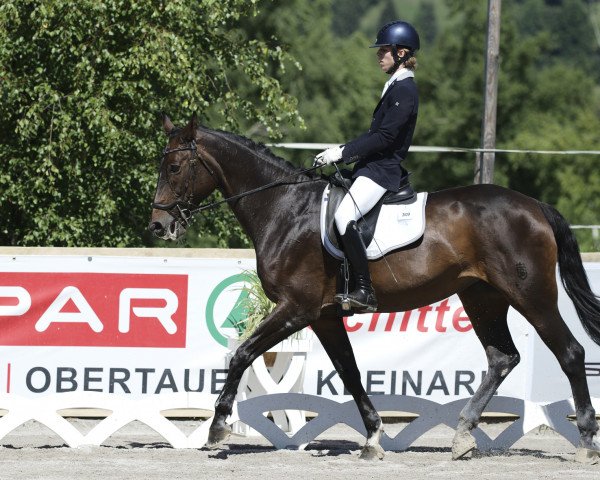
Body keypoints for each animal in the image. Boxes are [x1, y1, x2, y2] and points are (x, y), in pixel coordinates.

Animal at [149, 115, 600, 462]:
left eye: (174, 168)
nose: (158, 225)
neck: (284, 210)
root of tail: (534, 206)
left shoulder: (296, 308)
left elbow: (242, 353)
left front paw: (218, 426)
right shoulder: (325, 317)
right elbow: (349, 372)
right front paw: (373, 438)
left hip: (532, 295)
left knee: (570, 353)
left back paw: (586, 442)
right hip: (481, 298)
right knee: (502, 358)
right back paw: (463, 436)